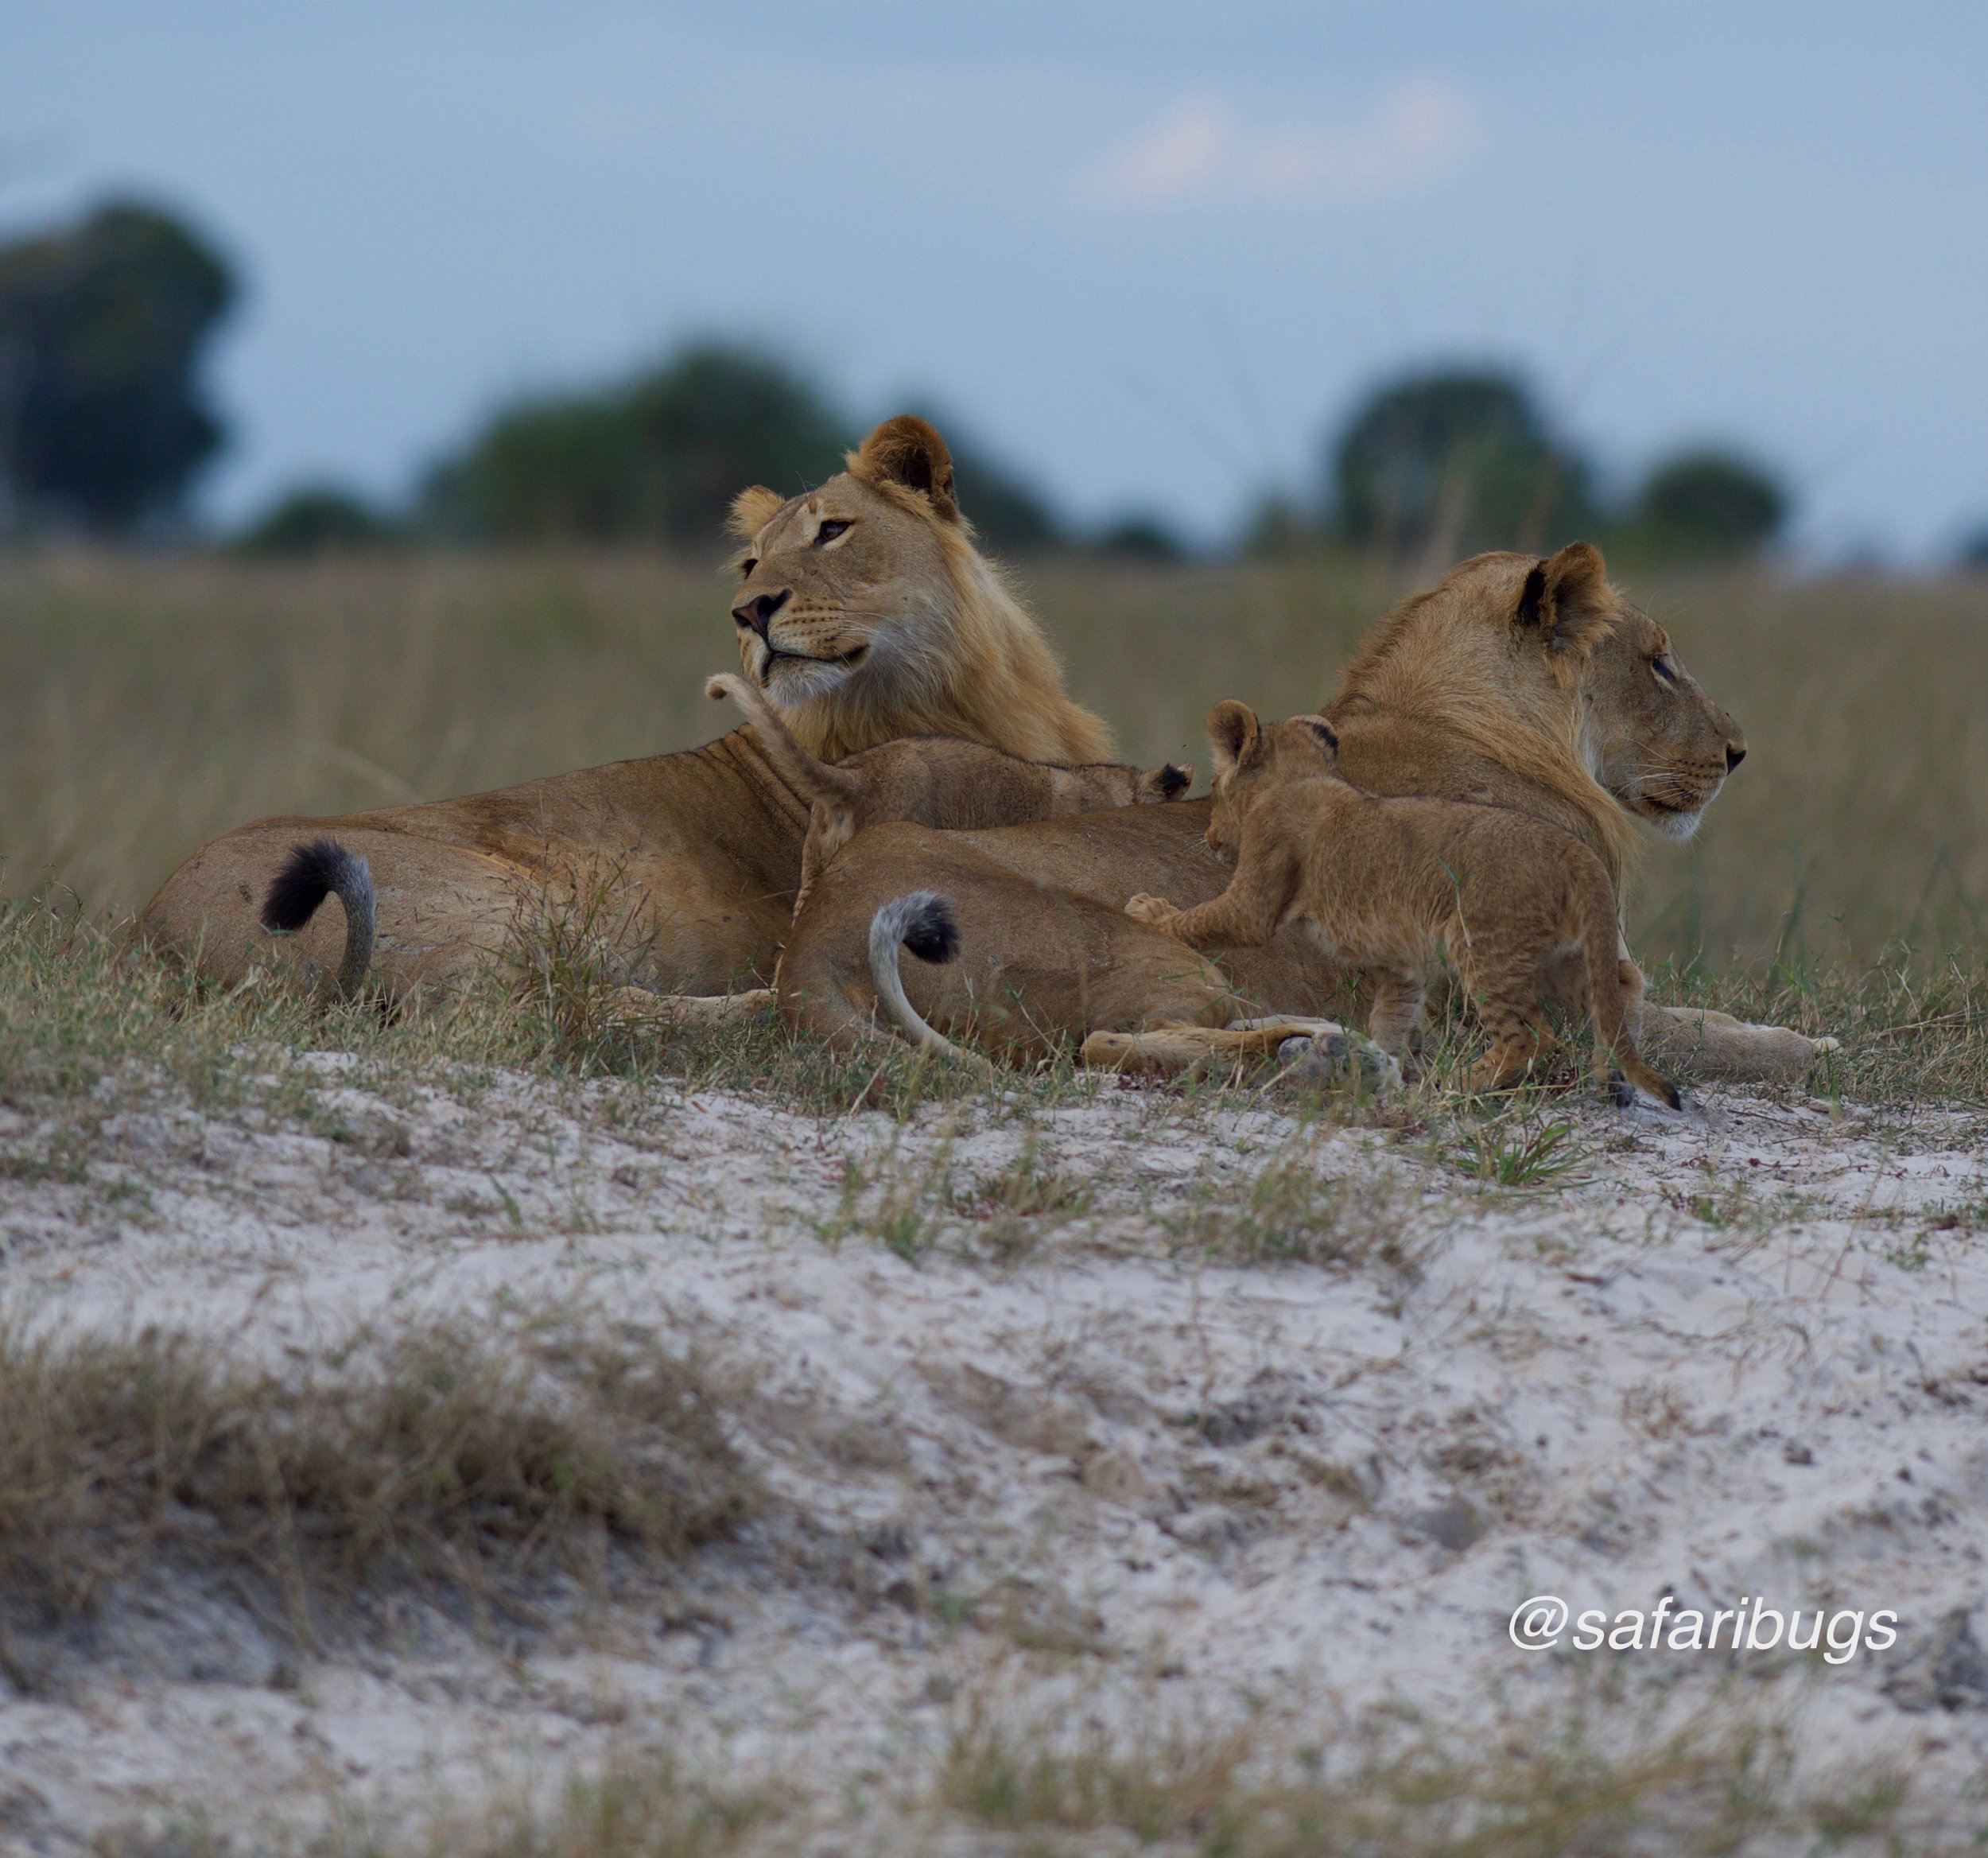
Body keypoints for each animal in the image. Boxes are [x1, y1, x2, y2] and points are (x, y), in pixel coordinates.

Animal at [1129, 700, 1670, 1106]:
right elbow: (1390, 1020)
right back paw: (1613, 1079)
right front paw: (1373, 1067)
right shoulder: (1404, 966)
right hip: (1555, 956)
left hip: (1483, 946)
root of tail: (1577, 854)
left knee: (1531, 1035)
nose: (1209, 837)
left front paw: (1147, 911)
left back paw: (1461, 1084)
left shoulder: (1256, 899)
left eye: (1213, 788)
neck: (1301, 777)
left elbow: (1198, 919)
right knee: (1619, 986)